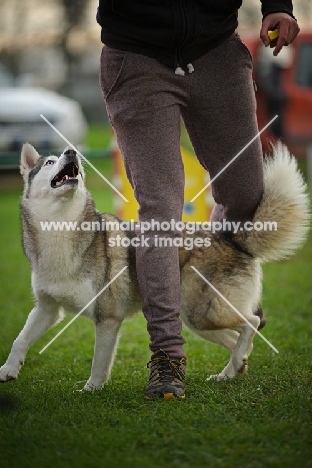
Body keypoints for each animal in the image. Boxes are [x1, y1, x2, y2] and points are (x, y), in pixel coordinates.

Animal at [0, 144, 310, 392]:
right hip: (197, 321)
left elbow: (99, 362)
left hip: (203, 314)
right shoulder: (47, 309)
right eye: (49, 163)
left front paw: (90, 390)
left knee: (252, 322)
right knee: (240, 339)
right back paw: (231, 371)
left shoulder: (108, 318)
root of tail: (230, 238)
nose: (71, 152)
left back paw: (234, 364)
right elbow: (19, 340)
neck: (61, 231)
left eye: (63, 156)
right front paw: (8, 370)